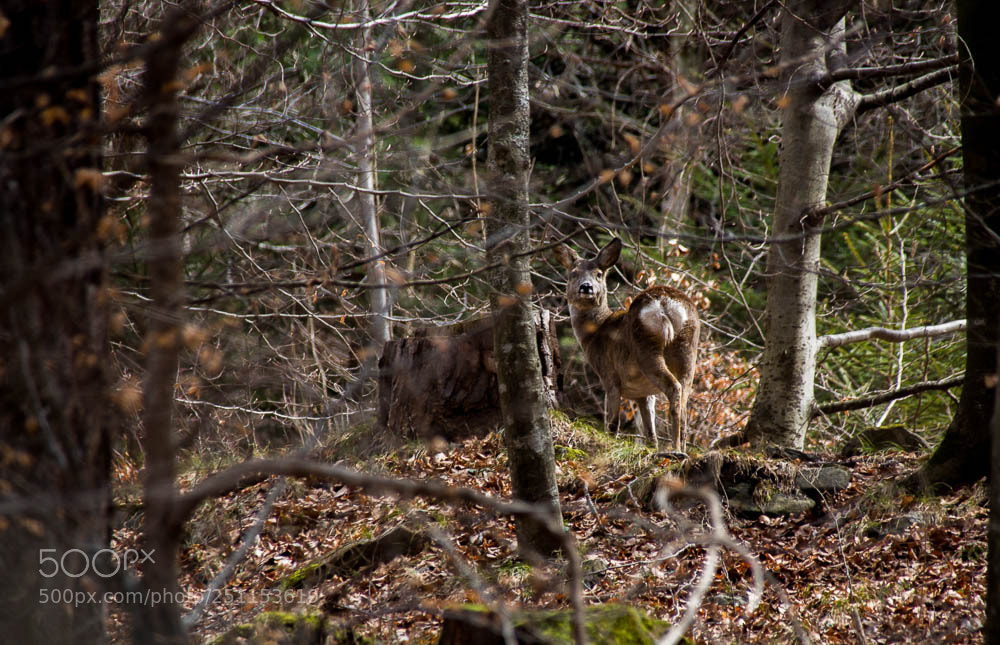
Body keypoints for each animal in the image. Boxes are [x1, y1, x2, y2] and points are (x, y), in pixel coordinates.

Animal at [554, 238, 700, 452]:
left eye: (599, 274)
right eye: (574, 273)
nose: (586, 287)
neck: (595, 332)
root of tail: (666, 303)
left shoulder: (609, 375)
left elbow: (612, 422)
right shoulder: (643, 393)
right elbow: (650, 432)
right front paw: (652, 447)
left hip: (646, 346)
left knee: (674, 387)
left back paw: (675, 449)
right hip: (688, 347)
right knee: (684, 400)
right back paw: (681, 448)